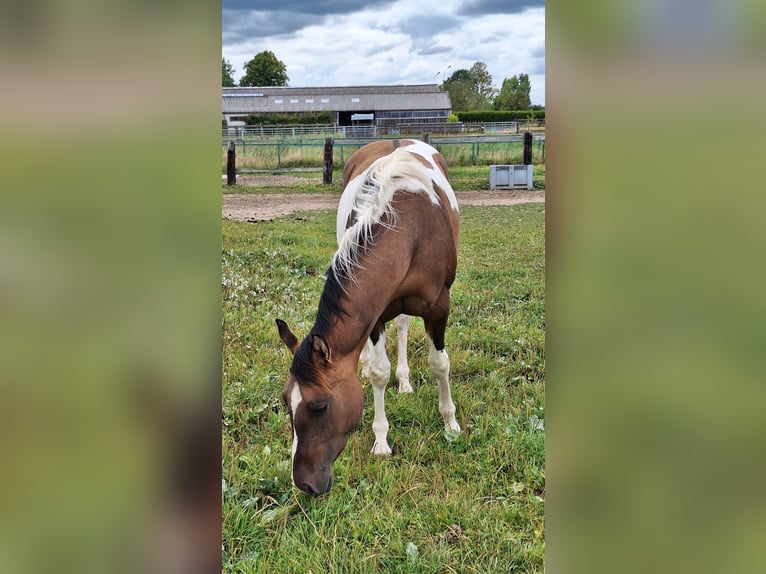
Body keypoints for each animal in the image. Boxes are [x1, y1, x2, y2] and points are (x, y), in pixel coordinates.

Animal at [276, 139, 461, 497]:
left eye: (319, 407)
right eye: (285, 403)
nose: (303, 484)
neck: (410, 228)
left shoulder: (438, 308)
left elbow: (439, 365)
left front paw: (450, 423)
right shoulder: (376, 315)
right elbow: (378, 372)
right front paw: (381, 440)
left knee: (404, 328)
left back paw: (406, 382)